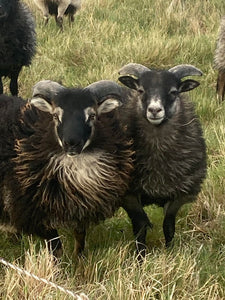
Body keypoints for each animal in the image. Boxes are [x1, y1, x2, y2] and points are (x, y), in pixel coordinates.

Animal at [0, 81, 134, 256]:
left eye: (92, 115)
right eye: (55, 116)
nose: (71, 143)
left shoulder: (80, 209)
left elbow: (80, 236)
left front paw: (79, 259)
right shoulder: (35, 214)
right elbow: (56, 246)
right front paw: (60, 263)